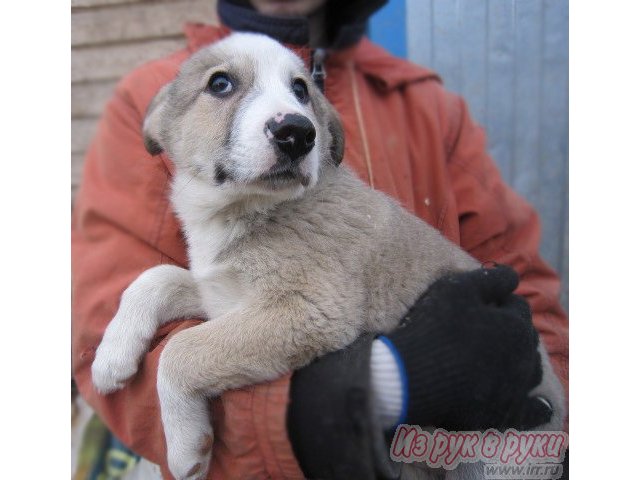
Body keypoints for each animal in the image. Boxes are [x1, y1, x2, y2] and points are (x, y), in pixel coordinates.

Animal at [91, 33, 564, 480]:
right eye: (220, 84)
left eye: (301, 90)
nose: (298, 133)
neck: (249, 210)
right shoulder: (221, 296)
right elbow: (155, 276)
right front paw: (111, 357)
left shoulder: (309, 310)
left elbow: (181, 348)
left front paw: (186, 446)